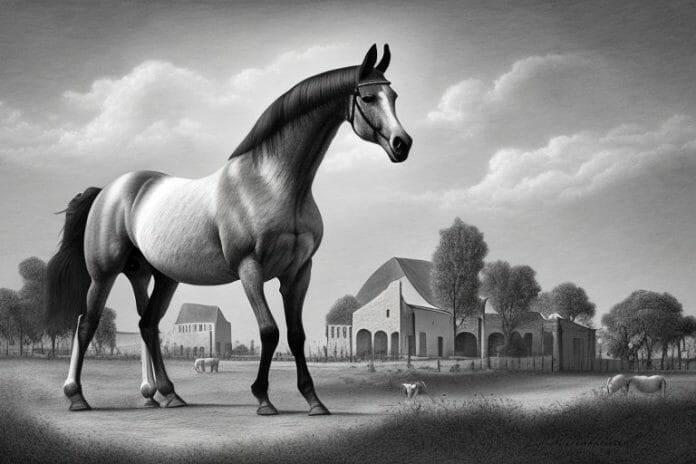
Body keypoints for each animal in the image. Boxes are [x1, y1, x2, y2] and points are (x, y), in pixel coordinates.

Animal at [45, 43, 411, 416]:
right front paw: (263, 398)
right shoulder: (250, 268)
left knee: (147, 325)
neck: (271, 184)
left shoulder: (299, 272)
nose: (402, 144)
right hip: (104, 273)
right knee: (86, 323)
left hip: (155, 276)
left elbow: (296, 335)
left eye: (394, 95)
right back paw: (77, 396)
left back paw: (165, 394)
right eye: (368, 97)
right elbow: (269, 331)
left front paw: (314, 400)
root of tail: (109, 190)